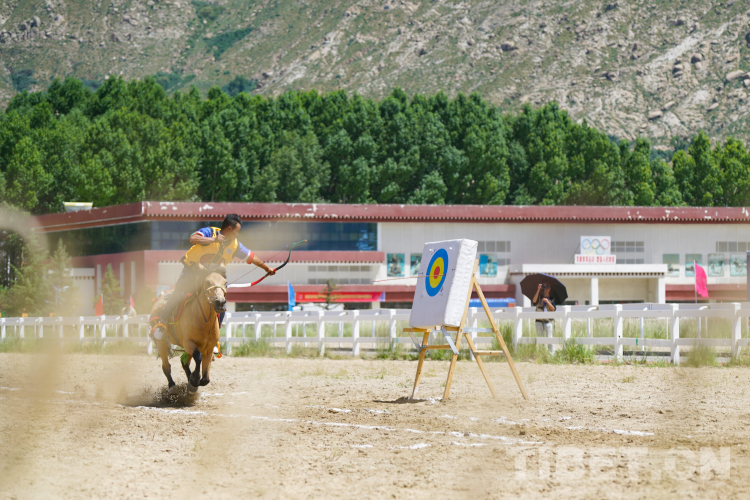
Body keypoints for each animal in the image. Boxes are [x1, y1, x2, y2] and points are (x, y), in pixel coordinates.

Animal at [155, 264, 227, 395]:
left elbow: (206, 378)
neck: (204, 322)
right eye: (207, 282)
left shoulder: (209, 348)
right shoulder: (188, 343)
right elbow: (198, 357)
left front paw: (193, 381)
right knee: (166, 366)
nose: (220, 302)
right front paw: (194, 380)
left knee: (184, 363)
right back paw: (172, 386)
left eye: (225, 282)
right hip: (161, 342)